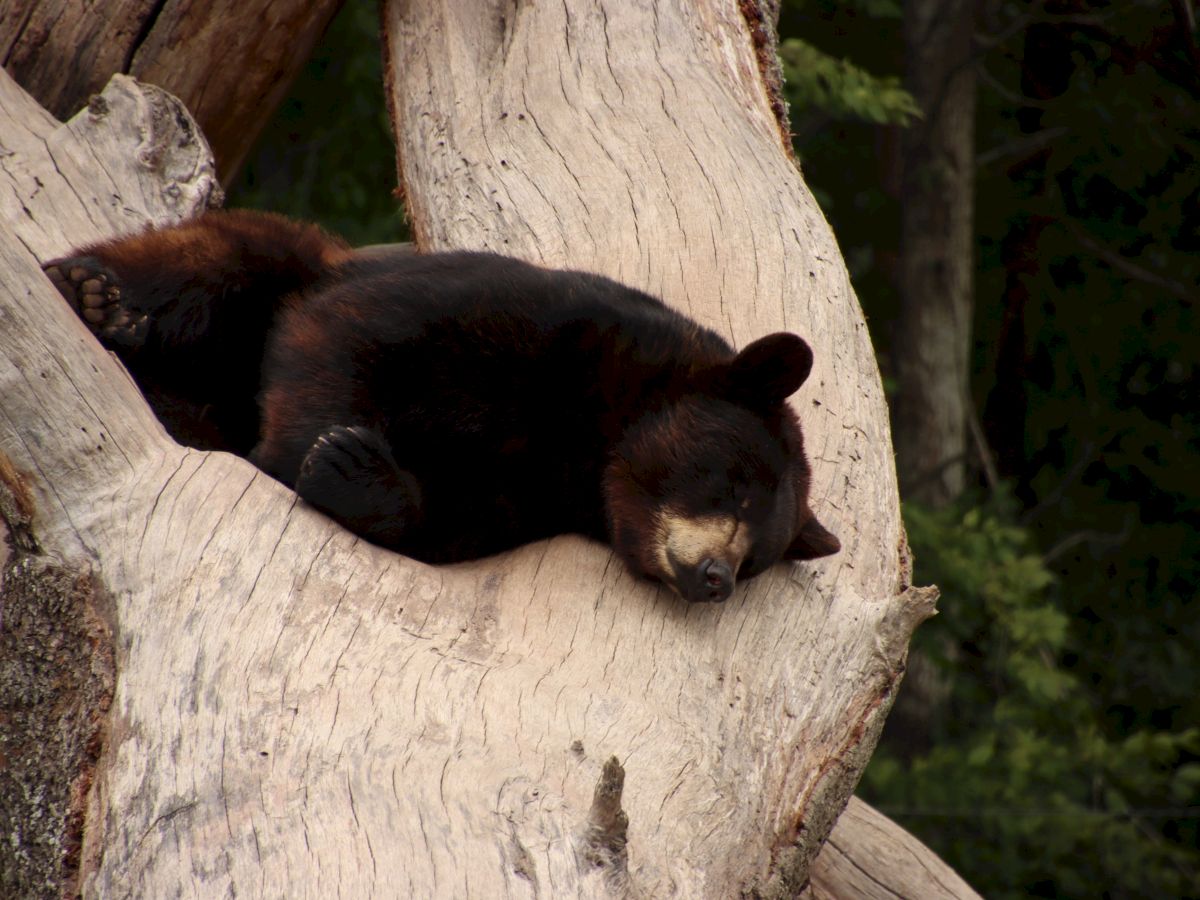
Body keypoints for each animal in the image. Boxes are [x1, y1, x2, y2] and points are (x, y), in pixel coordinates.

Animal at [44, 210, 839, 602]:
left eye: (759, 559)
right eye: (734, 486)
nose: (717, 581)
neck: (587, 434)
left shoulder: (534, 491)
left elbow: (454, 521)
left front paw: (355, 470)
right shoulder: (527, 314)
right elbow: (347, 329)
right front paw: (304, 451)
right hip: (289, 256)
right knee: (216, 258)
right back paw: (95, 294)